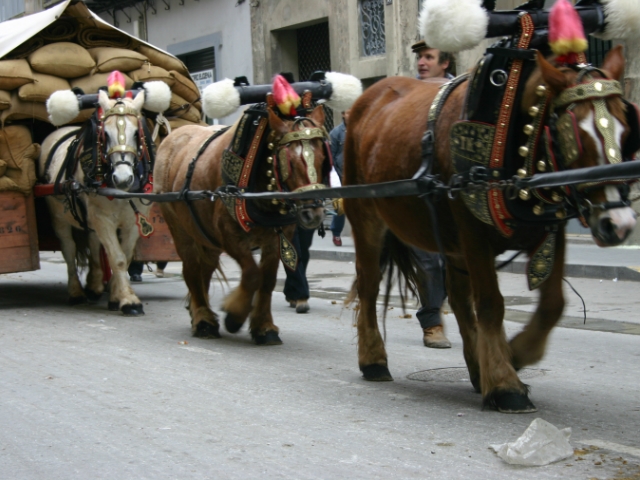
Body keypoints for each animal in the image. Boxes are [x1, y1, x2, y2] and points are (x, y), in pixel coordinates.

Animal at [40, 88, 155, 316]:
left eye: (136, 133)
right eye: (106, 134)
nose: (122, 179)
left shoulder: (133, 223)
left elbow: (124, 255)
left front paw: (116, 295)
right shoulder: (103, 219)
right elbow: (117, 258)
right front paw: (129, 301)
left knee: (93, 244)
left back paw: (94, 285)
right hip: (59, 219)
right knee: (69, 250)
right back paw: (76, 293)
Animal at [152, 96, 328, 342]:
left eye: (322, 158)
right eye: (289, 162)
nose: (314, 214)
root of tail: (172, 138)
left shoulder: (276, 238)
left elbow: (267, 280)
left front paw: (264, 327)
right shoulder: (229, 235)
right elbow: (253, 275)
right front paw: (234, 316)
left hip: (205, 236)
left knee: (205, 269)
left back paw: (199, 311)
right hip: (179, 228)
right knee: (191, 268)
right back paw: (204, 319)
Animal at [344, 46, 640, 412]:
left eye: (626, 128)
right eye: (576, 135)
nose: (619, 224)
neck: (509, 128)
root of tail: (367, 98)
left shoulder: (549, 231)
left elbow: (552, 304)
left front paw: (516, 354)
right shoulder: (473, 234)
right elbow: (490, 304)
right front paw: (504, 382)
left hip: (449, 241)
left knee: (458, 298)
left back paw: (475, 367)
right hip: (366, 217)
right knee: (369, 285)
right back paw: (373, 359)